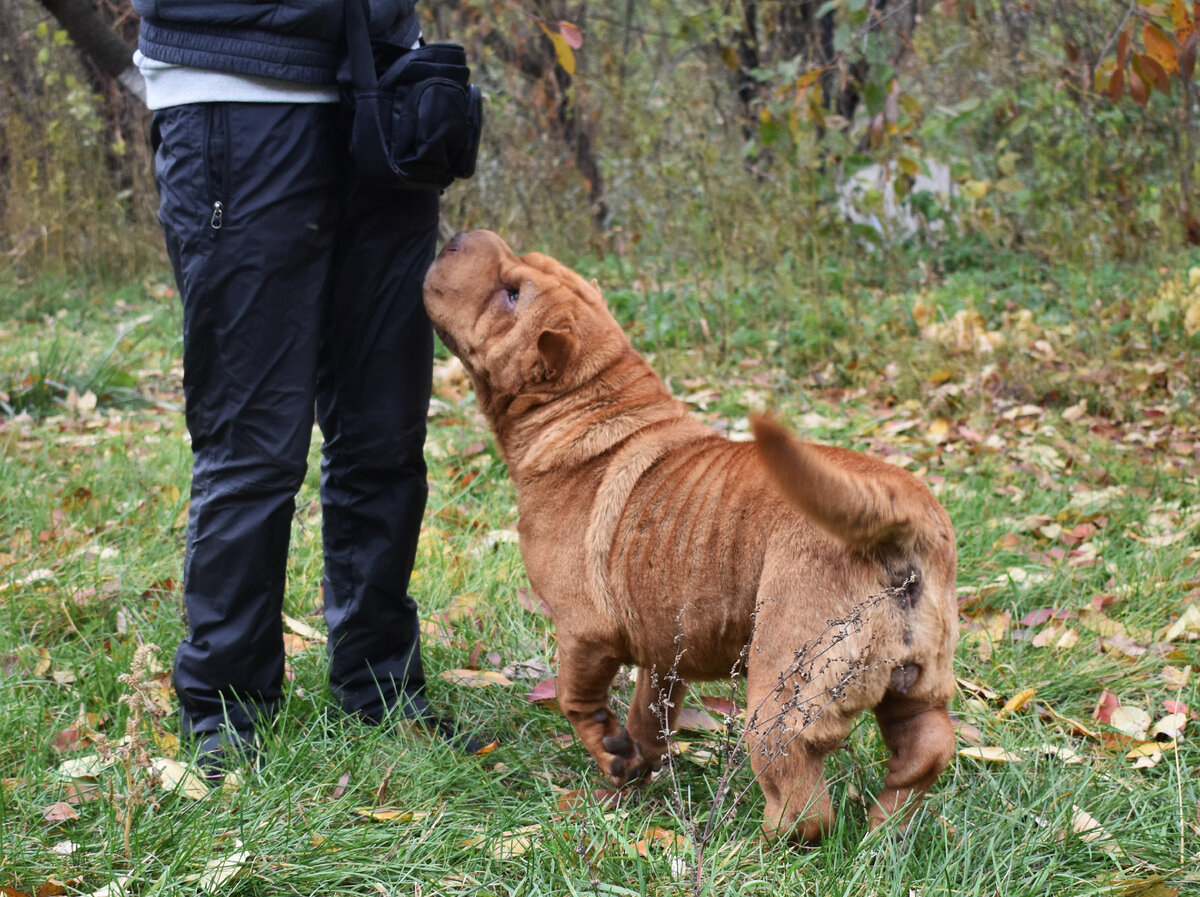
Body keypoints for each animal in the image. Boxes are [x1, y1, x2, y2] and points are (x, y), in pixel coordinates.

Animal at [422, 229, 955, 839]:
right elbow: (648, 714)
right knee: (924, 751)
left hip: (781, 696)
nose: (460, 236)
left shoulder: (584, 631)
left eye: (512, 294)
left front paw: (611, 755)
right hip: (917, 683)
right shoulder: (662, 648)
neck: (588, 404)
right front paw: (631, 772)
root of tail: (898, 515)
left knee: (802, 803)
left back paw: (757, 844)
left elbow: (576, 700)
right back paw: (885, 829)